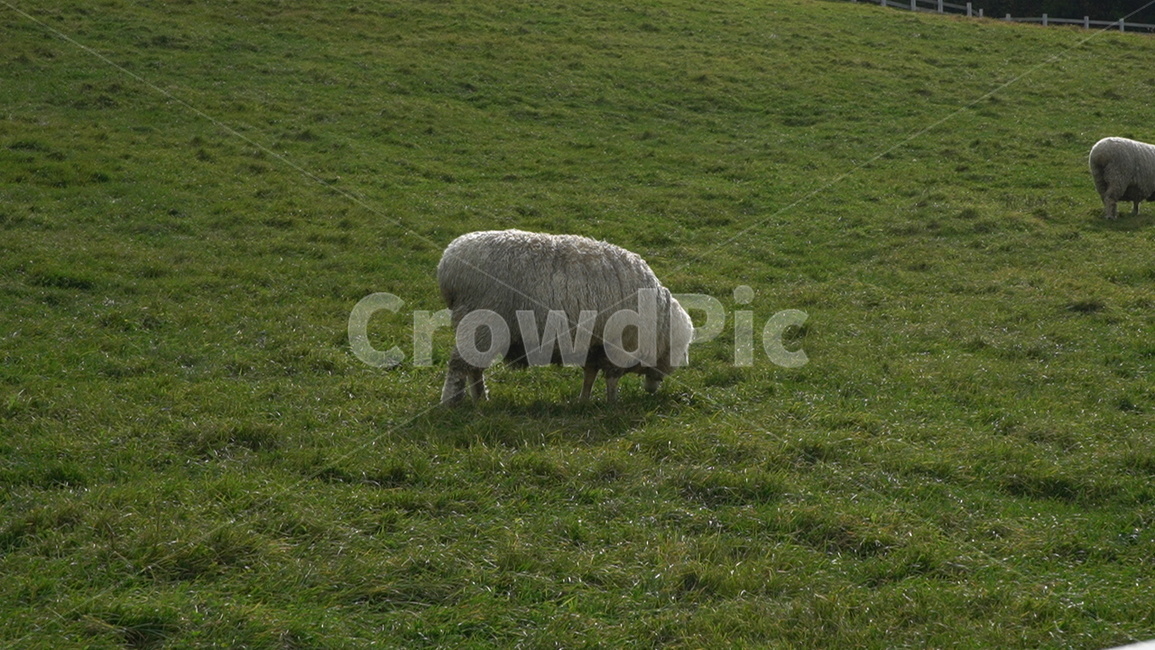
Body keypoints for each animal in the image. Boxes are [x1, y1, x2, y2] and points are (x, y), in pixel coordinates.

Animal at [436, 229, 693, 405]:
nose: (652, 390)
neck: (660, 324)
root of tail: (448, 262)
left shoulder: (594, 346)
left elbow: (590, 375)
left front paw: (584, 401)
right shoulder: (619, 348)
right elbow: (612, 379)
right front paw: (613, 404)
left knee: (474, 367)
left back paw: (481, 398)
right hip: (480, 322)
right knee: (459, 365)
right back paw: (450, 402)